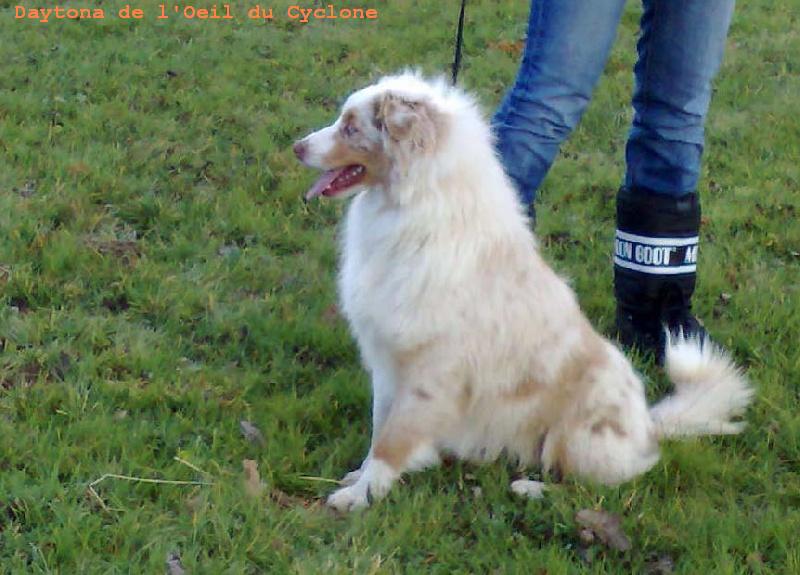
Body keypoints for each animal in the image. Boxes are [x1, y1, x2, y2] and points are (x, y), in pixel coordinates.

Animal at [292, 73, 752, 512]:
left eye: (351, 127)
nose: (296, 147)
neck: (412, 207)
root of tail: (647, 426)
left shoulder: (429, 371)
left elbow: (393, 440)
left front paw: (360, 498)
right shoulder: (387, 364)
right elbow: (379, 429)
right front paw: (359, 477)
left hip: (577, 433)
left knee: (593, 485)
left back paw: (530, 489)